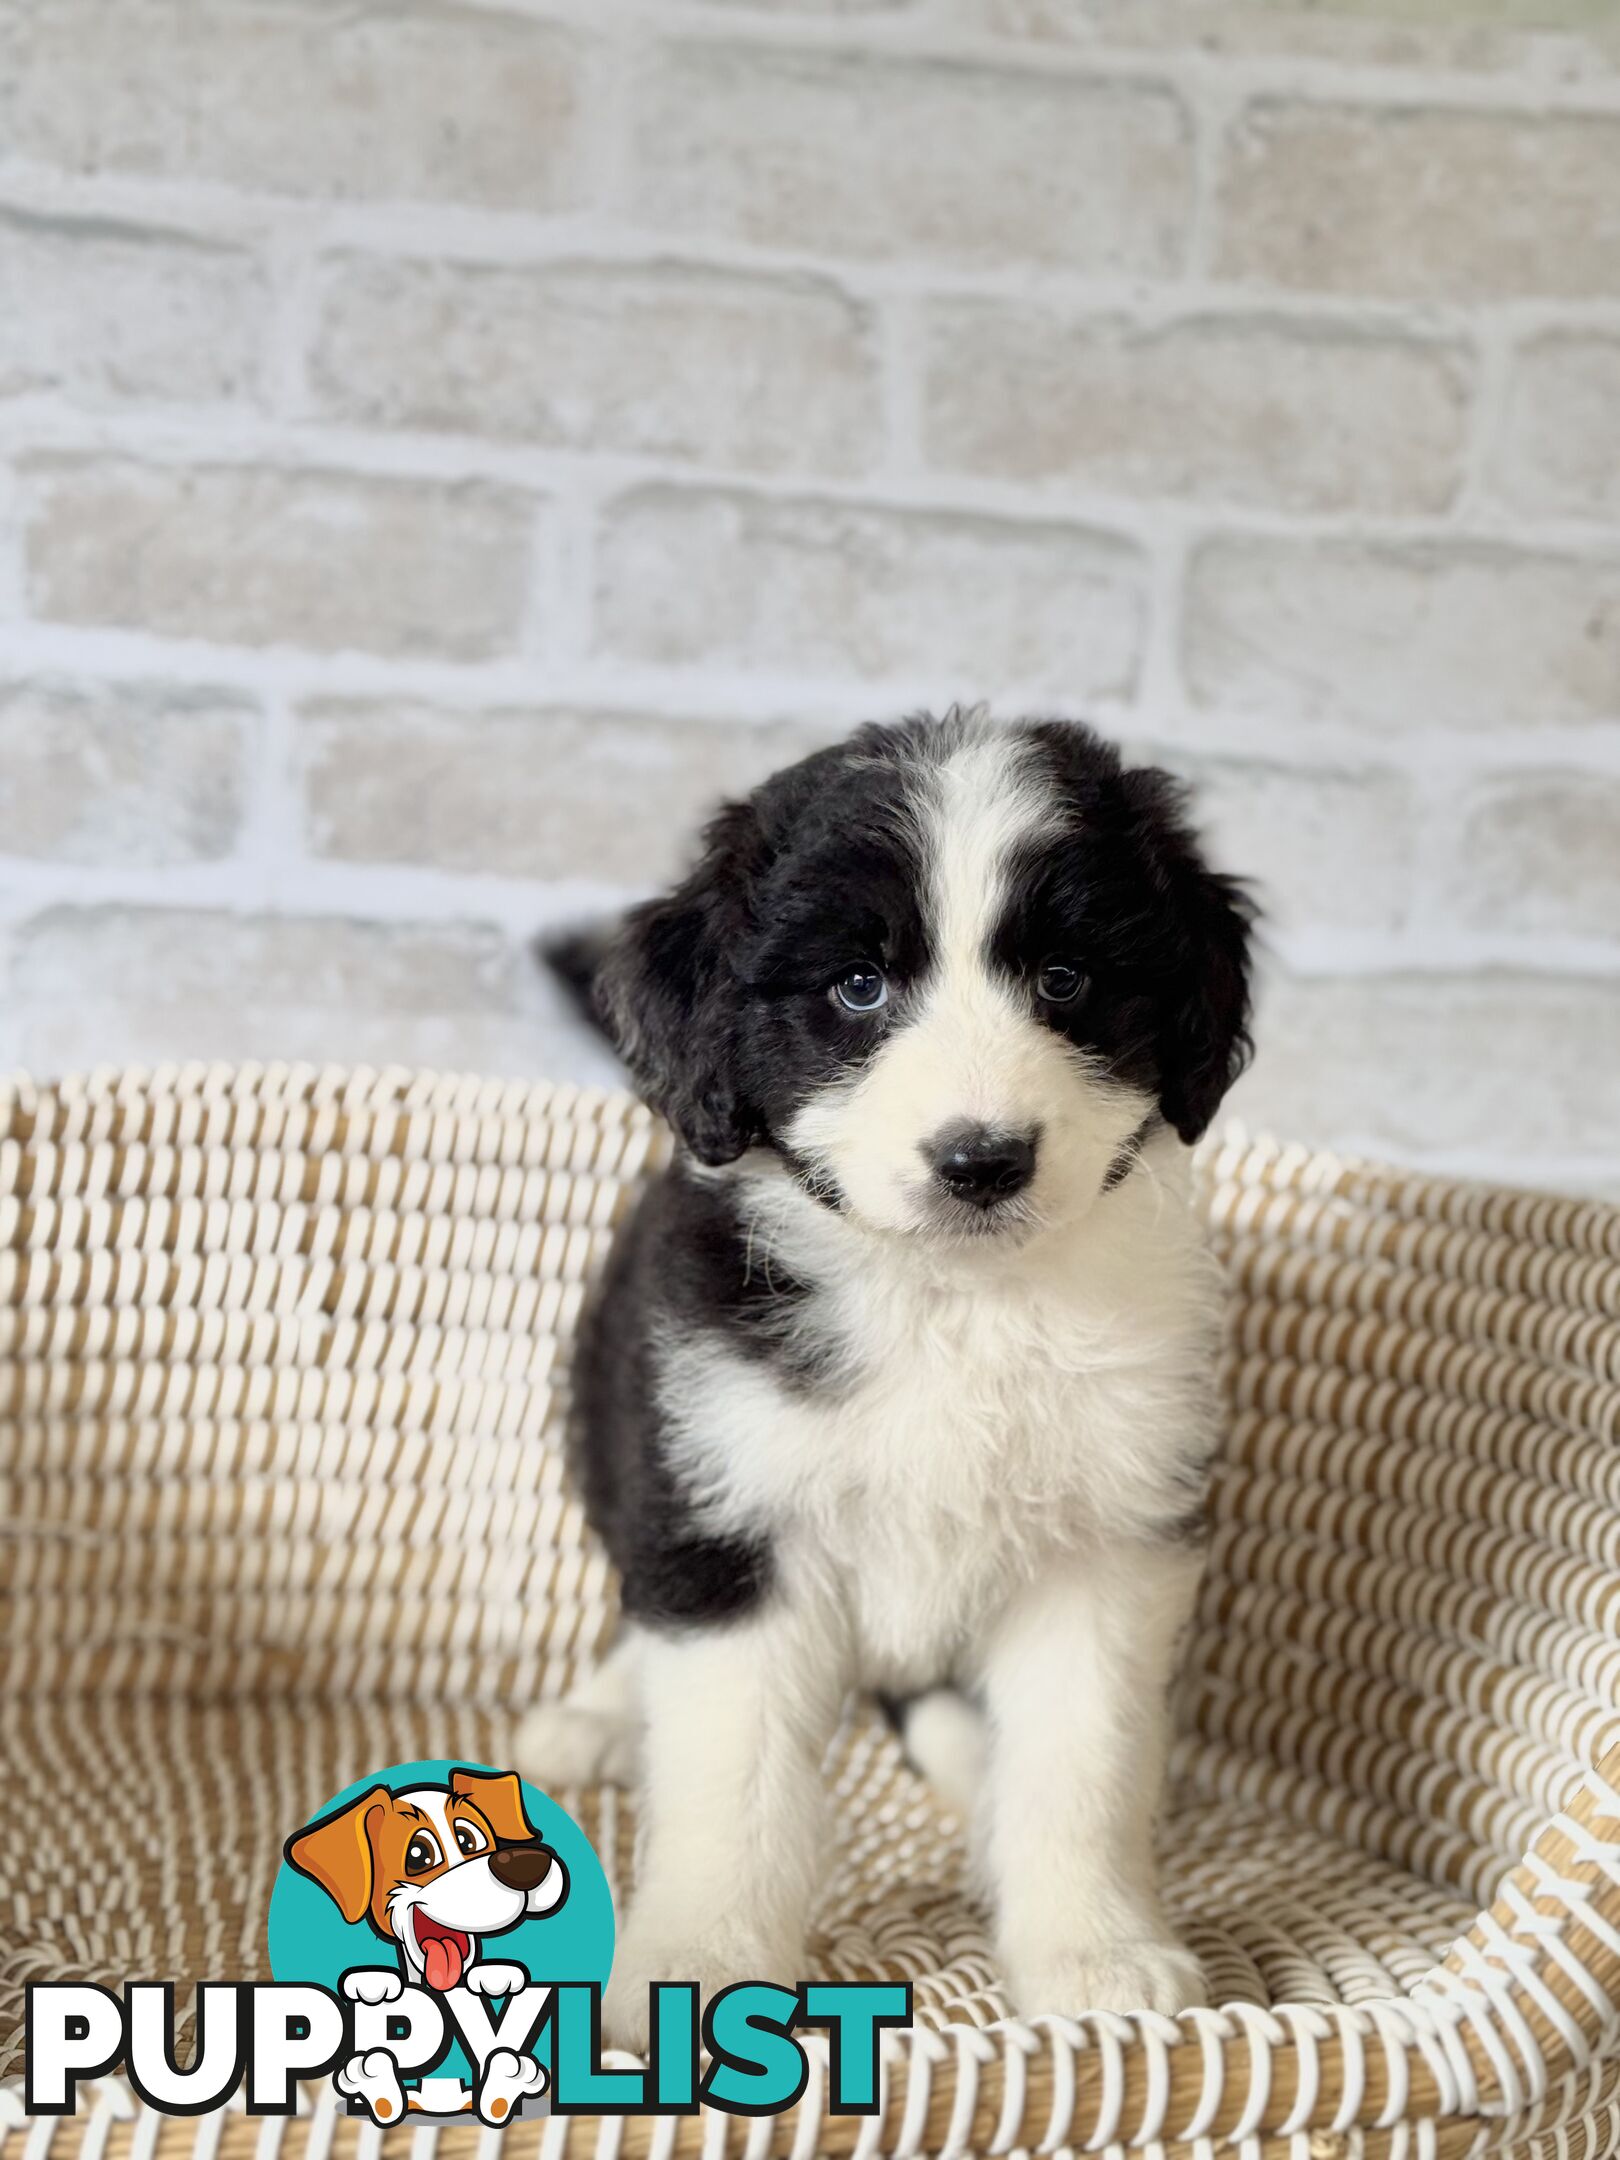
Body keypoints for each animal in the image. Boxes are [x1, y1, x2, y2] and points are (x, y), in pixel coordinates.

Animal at [520, 708, 1252, 2039]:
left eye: (1065, 979)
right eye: (858, 985)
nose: (983, 1161)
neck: (952, 1302)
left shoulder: (1106, 1544)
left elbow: (1082, 1760)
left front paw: (1096, 1952)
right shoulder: (733, 1502)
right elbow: (729, 1778)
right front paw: (703, 1964)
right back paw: (597, 1712)